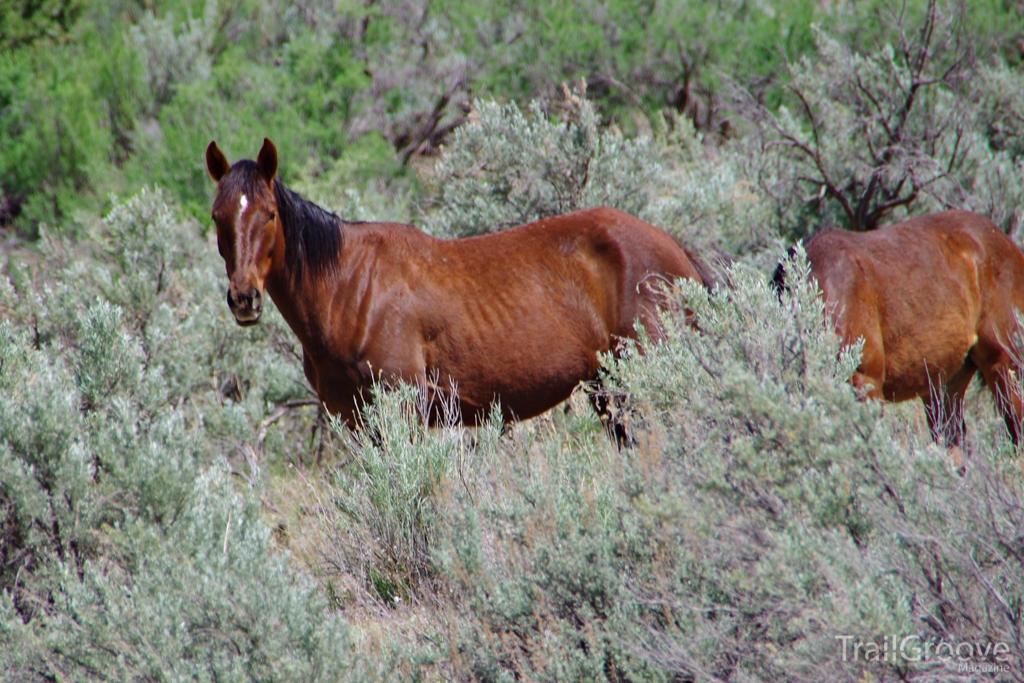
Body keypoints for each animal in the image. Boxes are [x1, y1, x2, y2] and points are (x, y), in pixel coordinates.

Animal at [204, 138, 708, 432]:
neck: (349, 288)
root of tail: (677, 250)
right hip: (607, 388)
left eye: (270, 214)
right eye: (217, 216)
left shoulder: (404, 411)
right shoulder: (355, 421)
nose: (244, 298)